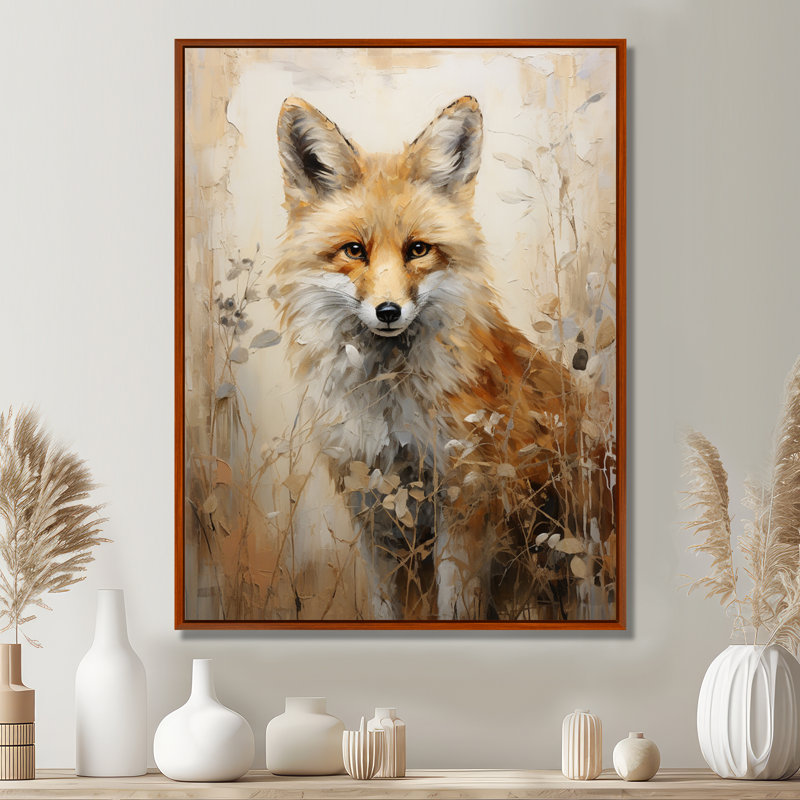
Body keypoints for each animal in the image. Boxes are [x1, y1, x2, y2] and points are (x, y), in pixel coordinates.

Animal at [274, 95, 613, 621]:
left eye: (418, 249)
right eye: (354, 250)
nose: (388, 311)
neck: (389, 405)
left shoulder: (465, 499)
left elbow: (456, 604)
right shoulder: (371, 508)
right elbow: (385, 606)